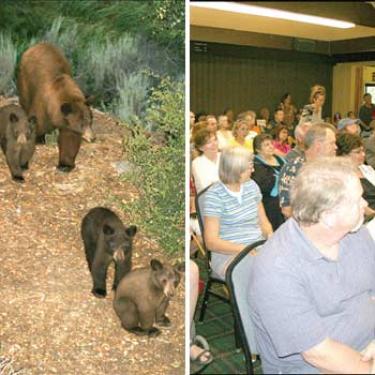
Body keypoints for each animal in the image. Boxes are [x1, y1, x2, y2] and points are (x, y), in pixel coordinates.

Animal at [18, 42, 96, 172]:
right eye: (82, 124)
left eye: (90, 121)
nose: (93, 138)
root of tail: (38, 44)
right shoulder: (41, 107)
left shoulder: (68, 124)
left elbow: (69, 140)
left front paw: (65, 165)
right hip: (25, 79)